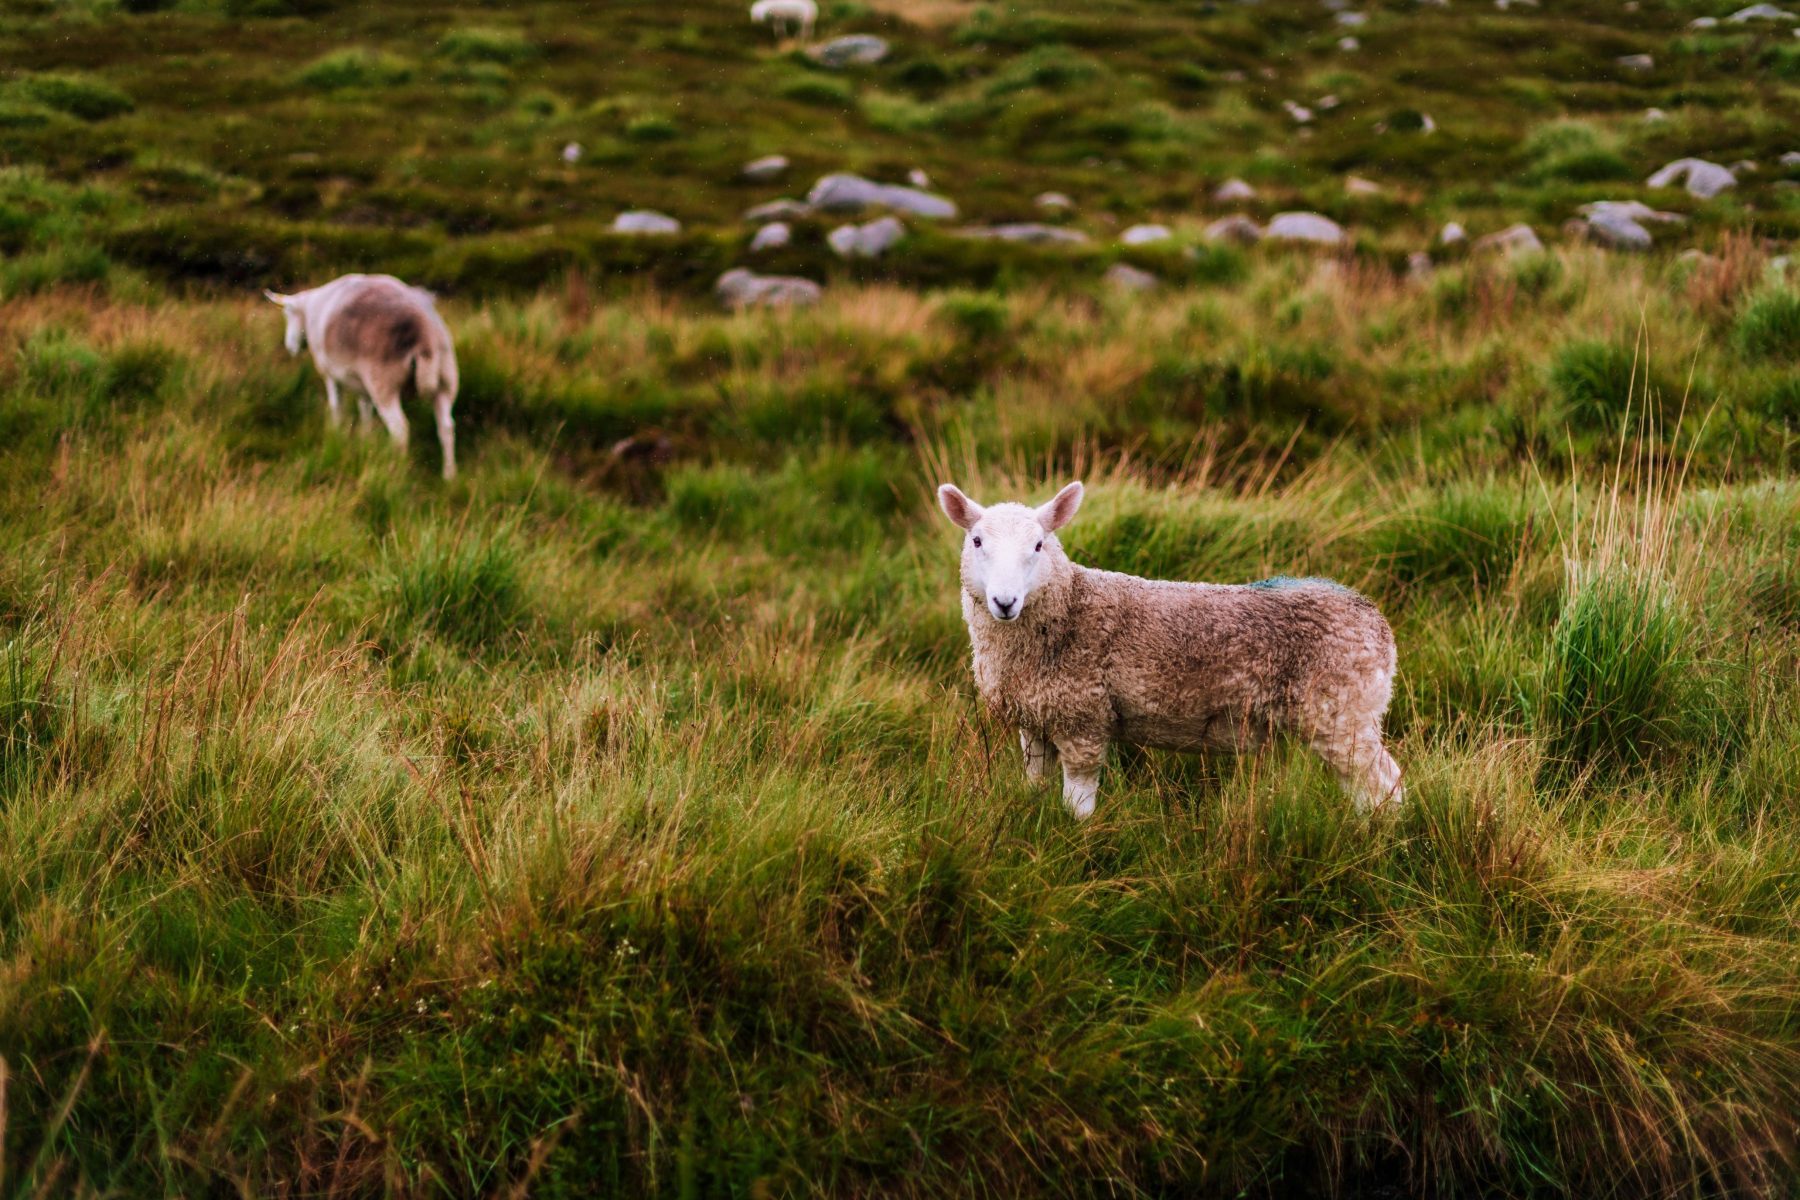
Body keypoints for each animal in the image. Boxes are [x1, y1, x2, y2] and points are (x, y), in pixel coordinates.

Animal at [268, 275, 468, 482]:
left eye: (287, 315)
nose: (290, 347)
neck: (310, 310)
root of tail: (424, 337)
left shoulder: (329, 373)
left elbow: (336, 406)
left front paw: (336, 436)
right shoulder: (362, 383)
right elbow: (364, 408)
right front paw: (365, 439)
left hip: (384, 383)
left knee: (400, 429)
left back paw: (397, 471)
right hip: (447, 379)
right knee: (446, 427)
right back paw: (449, 475)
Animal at [943, 482, 1404, 820]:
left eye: (1039, 546)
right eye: (977, 541)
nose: (1005, 602)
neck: (1068, 607)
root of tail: (1374, 620)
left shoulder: (1083, 719)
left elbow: (1078, 804)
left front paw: (1078, 841)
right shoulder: (1035, 719)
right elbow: (1034, 782)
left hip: (1343, 712)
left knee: (1385, 785)